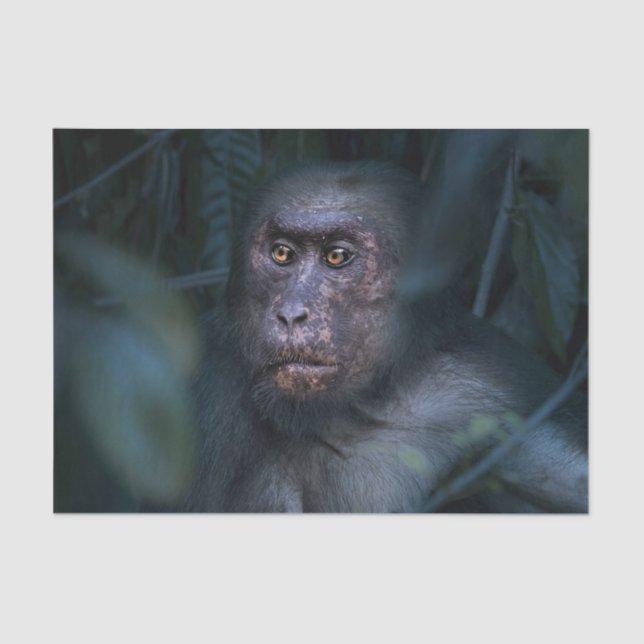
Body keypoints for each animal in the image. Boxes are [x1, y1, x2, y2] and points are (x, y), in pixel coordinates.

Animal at [182, 160, 587, 513]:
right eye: (282, 252)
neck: (356, 410)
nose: (291, 313)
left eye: (336, 256)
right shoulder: (214, 393)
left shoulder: (495, 388)